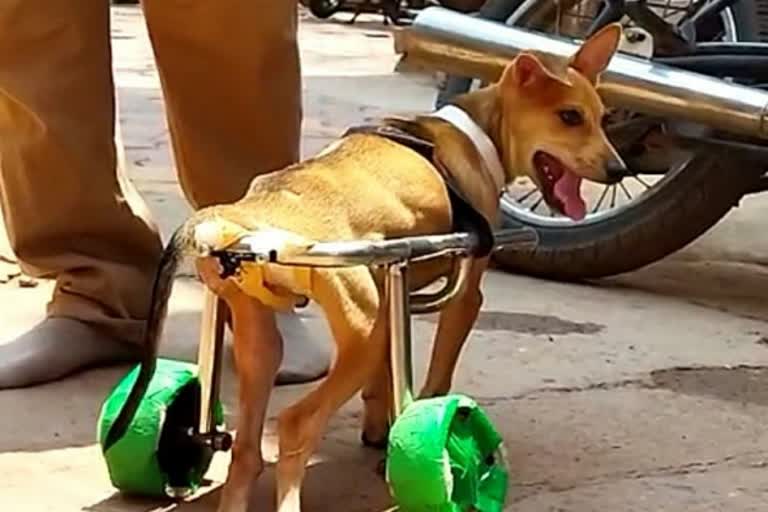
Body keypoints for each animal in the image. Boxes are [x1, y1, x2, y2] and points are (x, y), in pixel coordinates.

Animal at [102, 22, 628, 510]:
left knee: (245, 452)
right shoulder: (464, 295)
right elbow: (435, 379)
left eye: (603, 118)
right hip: (365, 332)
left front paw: (380, 429)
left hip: (260, 338)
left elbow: (384, 383)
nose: (619, 170)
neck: (478, 134)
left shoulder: (394, 282)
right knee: (295, 425)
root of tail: (245, 219)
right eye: (569, 117)